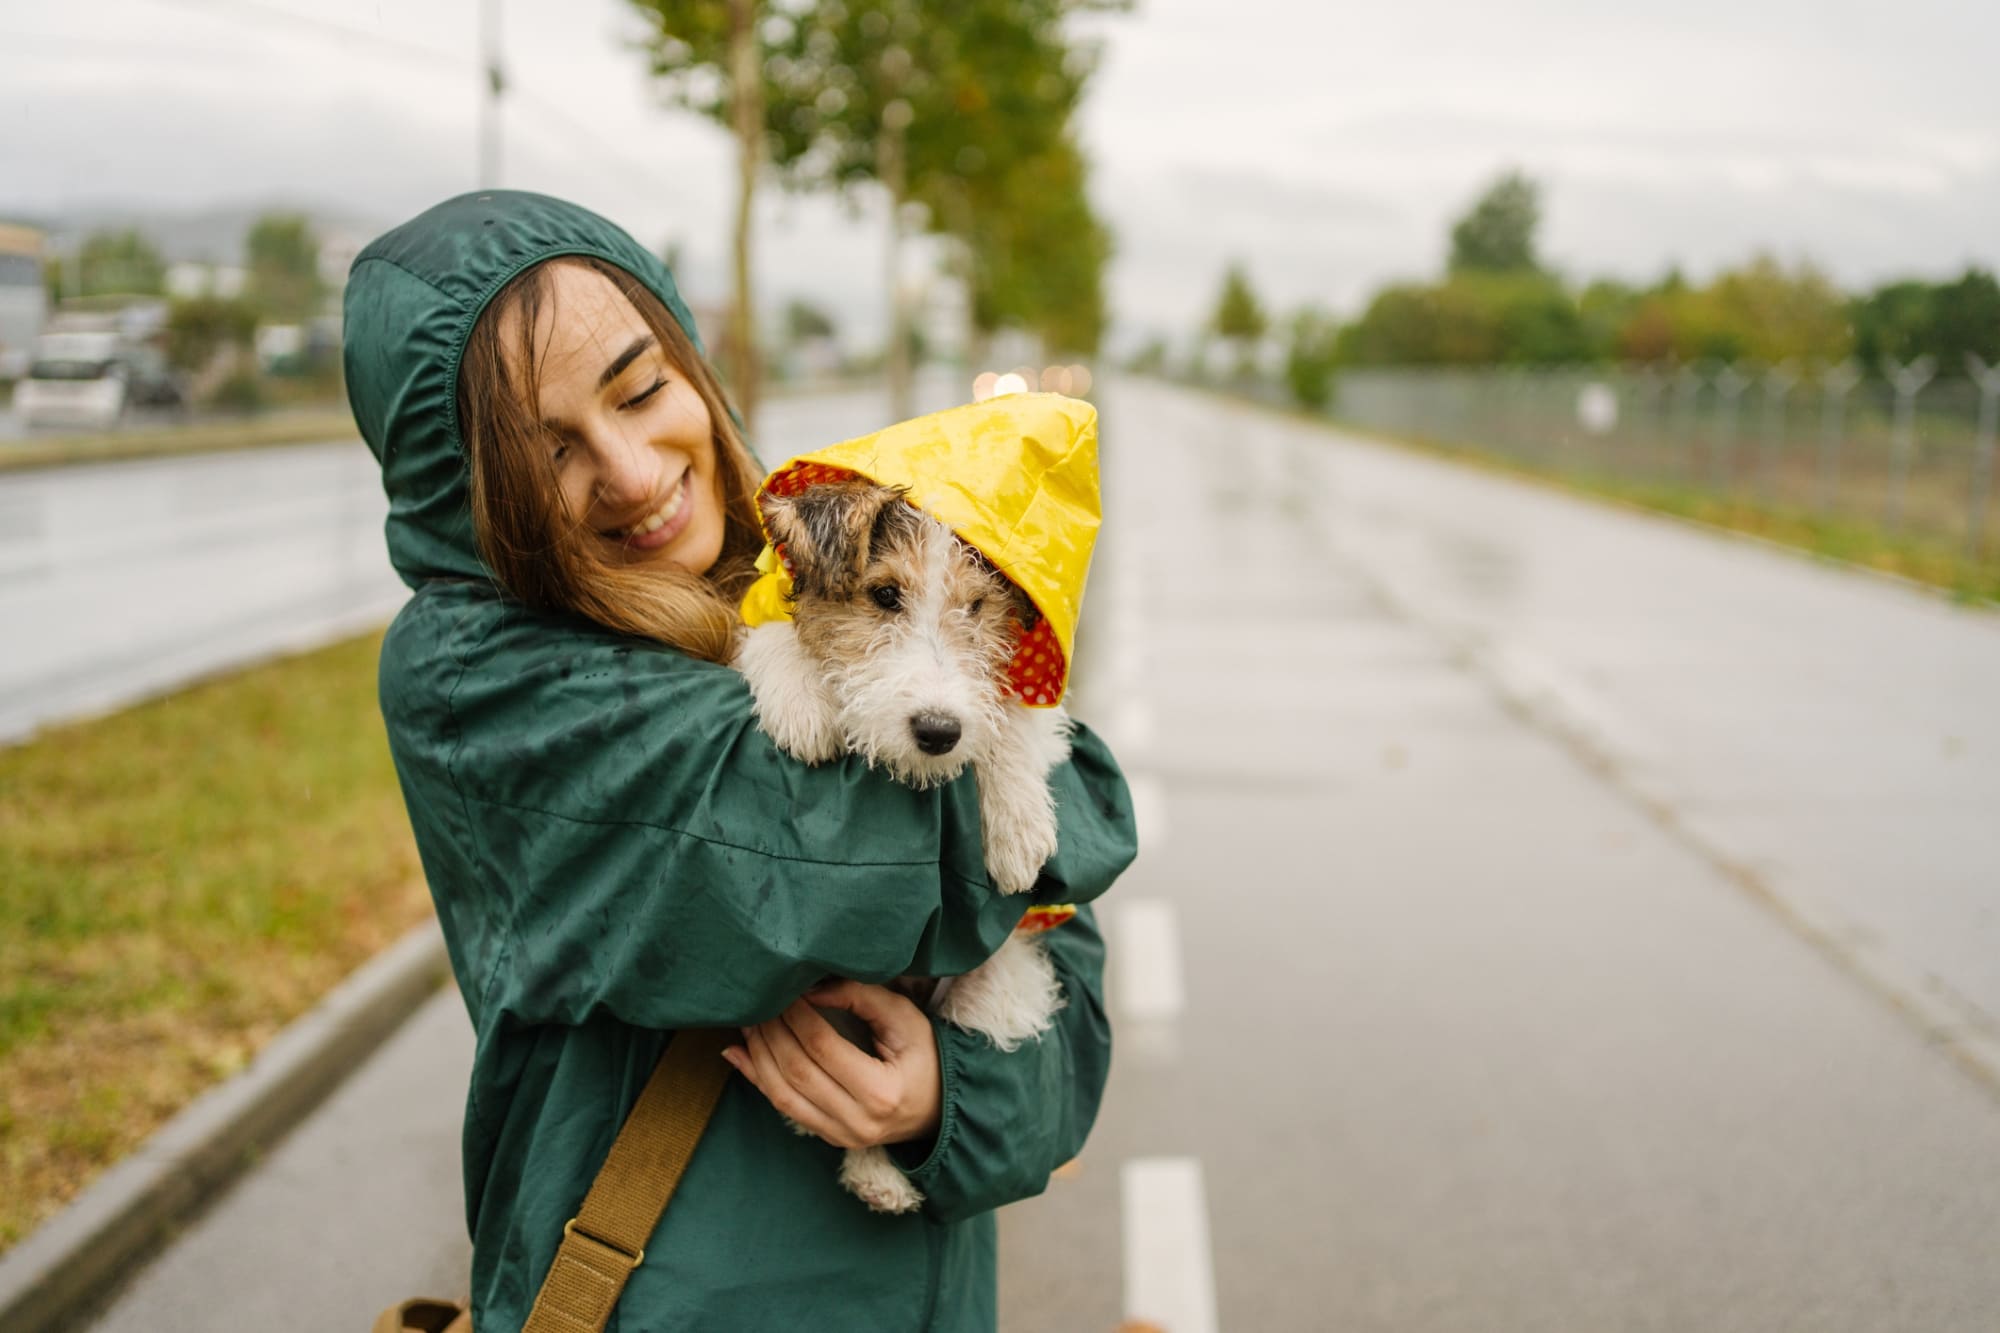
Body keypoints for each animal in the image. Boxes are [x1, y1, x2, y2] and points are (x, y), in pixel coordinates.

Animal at [736, 478, 1080, 1216]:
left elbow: (1011, 717)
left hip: (993, 984)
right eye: (885, 594)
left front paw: (1017, 828)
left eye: (976, 607)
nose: (939, 730)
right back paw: (879, 1178)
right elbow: (771, 634)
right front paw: (801, 699)